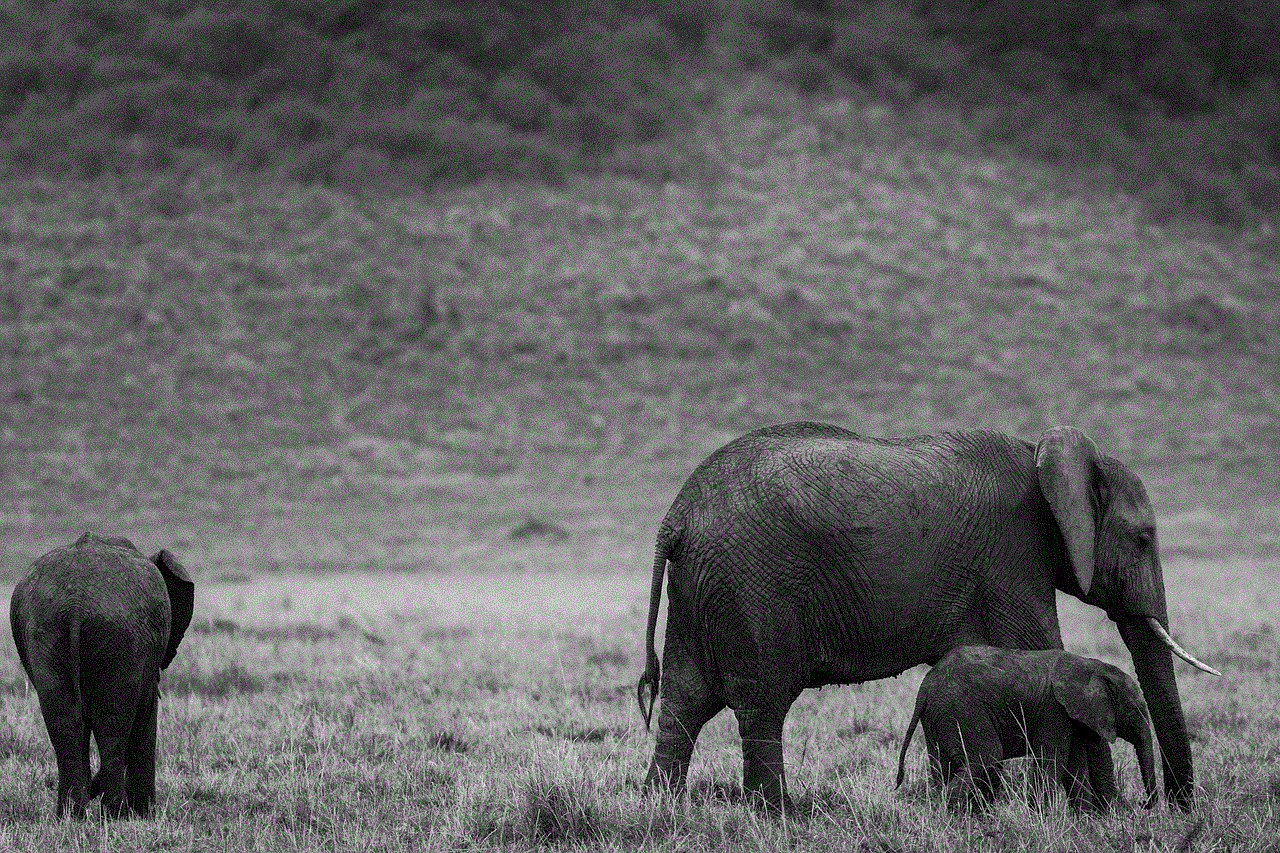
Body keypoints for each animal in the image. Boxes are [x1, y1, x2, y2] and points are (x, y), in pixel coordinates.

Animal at [8, 532, 193, 819]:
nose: (93, 789)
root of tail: (76, 606)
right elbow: (146, 718)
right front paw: (145, 816)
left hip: (45, 631)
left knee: (63, 722)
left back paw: (71, 817)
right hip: (120, 637)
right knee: (113, 725)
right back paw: (115, 817)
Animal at [896, 645, 1157, 809]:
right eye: (1138, 709)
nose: (1143, 804)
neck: (1092, 666)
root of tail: (926, 685)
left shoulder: (1072, 716)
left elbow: (1075, 766)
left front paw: (1083, 822)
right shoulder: (1054, 710)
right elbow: (1052, 761)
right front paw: (1041, 819)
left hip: (938, 715)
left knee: (942, 765)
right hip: (962, 708)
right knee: (988, 756)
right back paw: (954, 815)